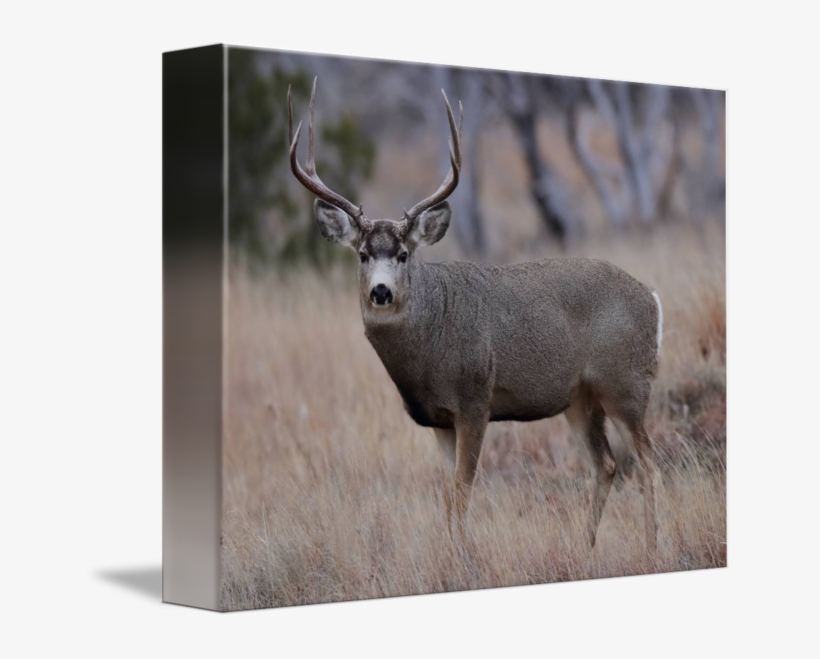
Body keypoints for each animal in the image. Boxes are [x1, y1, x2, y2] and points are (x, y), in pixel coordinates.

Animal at [287, 79, 663, 551]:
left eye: (404, 254)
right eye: (362, 254)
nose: (381, 291)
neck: (428, 351)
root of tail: (652, 300)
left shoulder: (475, 400)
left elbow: (463, 491)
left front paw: (462, 556)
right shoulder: (438, 419)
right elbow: (449, 496)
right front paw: (450, 552)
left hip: (626, 385)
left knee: (649, 462)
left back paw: (652, 546)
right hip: (579, 398)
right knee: (607, 464)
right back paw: (585, 546)